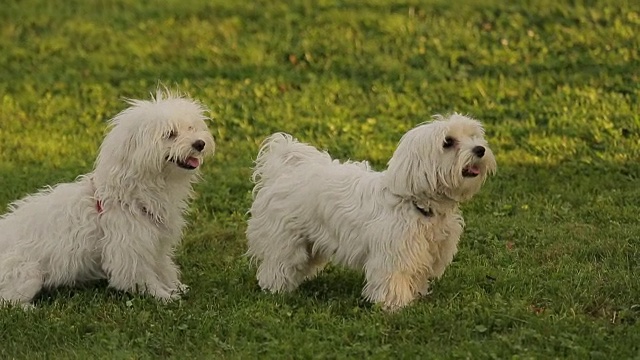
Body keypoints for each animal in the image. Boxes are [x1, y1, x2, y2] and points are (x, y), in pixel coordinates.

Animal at [0, 90, 215, 306]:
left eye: (191, 128)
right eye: (170, 134)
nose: (200, 143)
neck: (130, 196)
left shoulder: (156, 243)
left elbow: (164, 267)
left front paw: (176, 286)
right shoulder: (128, 249)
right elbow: (142, 278)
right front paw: (164, 295)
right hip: (27, 274)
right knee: (8, 300)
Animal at [245, 114, 496, 310]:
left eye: (473, 136)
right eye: (448, 142)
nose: (480, 149)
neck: (416, 202)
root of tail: (283, 171)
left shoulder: (425, 253)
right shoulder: (394, 255)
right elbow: (392, 280)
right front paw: (394, 305)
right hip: (285, 239)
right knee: (277, 264)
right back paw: (276, 289)